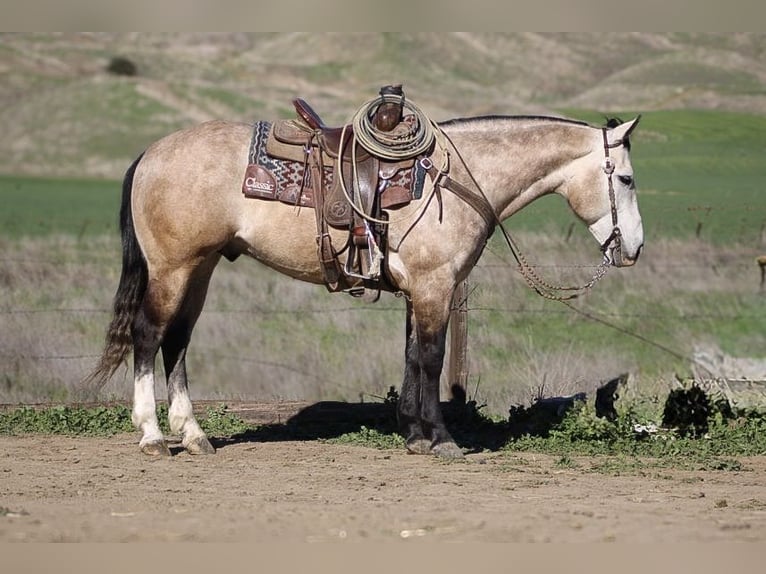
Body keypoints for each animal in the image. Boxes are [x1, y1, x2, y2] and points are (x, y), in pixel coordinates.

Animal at [87, 109, 643, 458]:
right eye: (627, 179)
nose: (633, 248)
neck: (456, 179)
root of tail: (150, 154)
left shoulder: (420, 293)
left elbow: (413, 358)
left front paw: (414, 435)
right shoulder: (435, 287)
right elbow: (431, 359)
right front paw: (441, 440)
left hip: (198, 269)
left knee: (177, 341)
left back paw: (195, 436)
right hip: (172, 268)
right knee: (148, 336)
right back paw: (152, 436)